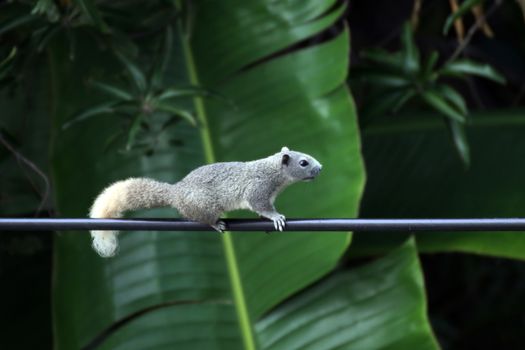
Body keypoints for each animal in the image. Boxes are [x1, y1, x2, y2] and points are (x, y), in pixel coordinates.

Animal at [88, 146, 322, 258]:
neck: (274, 172)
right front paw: (276, 217)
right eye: (303, 162)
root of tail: (176, 193)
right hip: (205, 205)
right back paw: (215, 223)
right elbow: (262, 206)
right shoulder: (258, 190)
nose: (320, 168)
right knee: (202, 218)